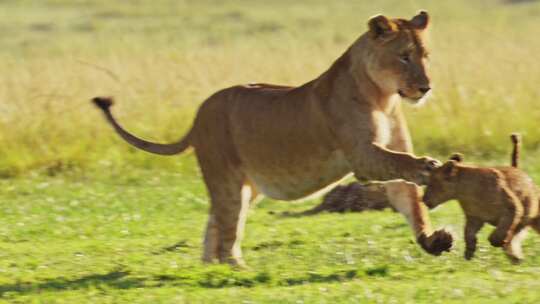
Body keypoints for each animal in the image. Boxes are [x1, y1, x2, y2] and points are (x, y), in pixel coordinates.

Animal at [93, 10, 452, 264]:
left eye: (426, 56)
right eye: (404, 56)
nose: (426, 88)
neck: (384, 97)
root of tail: (198, 116)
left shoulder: (385, 155)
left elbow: (410, 202)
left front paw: (433, 241)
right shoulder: (363, 155)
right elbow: (402, 163)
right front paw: (429, 167)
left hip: (247, 185)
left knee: (215, 224)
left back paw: (210, 266)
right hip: (226, 178)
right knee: (227, 228)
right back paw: (232, 271)